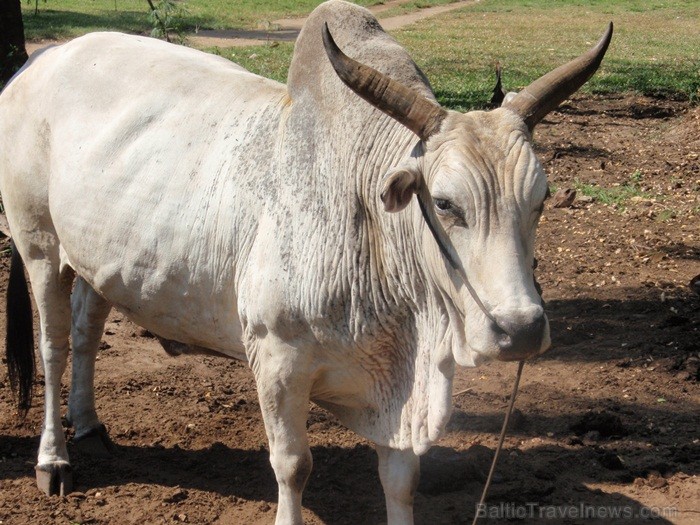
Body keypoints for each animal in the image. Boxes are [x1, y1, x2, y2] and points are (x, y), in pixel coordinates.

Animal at [0, 2, 612, 520]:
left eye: (541, 198)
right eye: (444, 203)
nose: (521, 329)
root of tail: (37, 63)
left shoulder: (398, 390)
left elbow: (401, 478)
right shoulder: (276, 358)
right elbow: (293, 468)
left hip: (98, 257)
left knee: (86, 331)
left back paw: (89, 426)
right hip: (38, 244)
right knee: (54, 346)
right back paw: (54, 460)